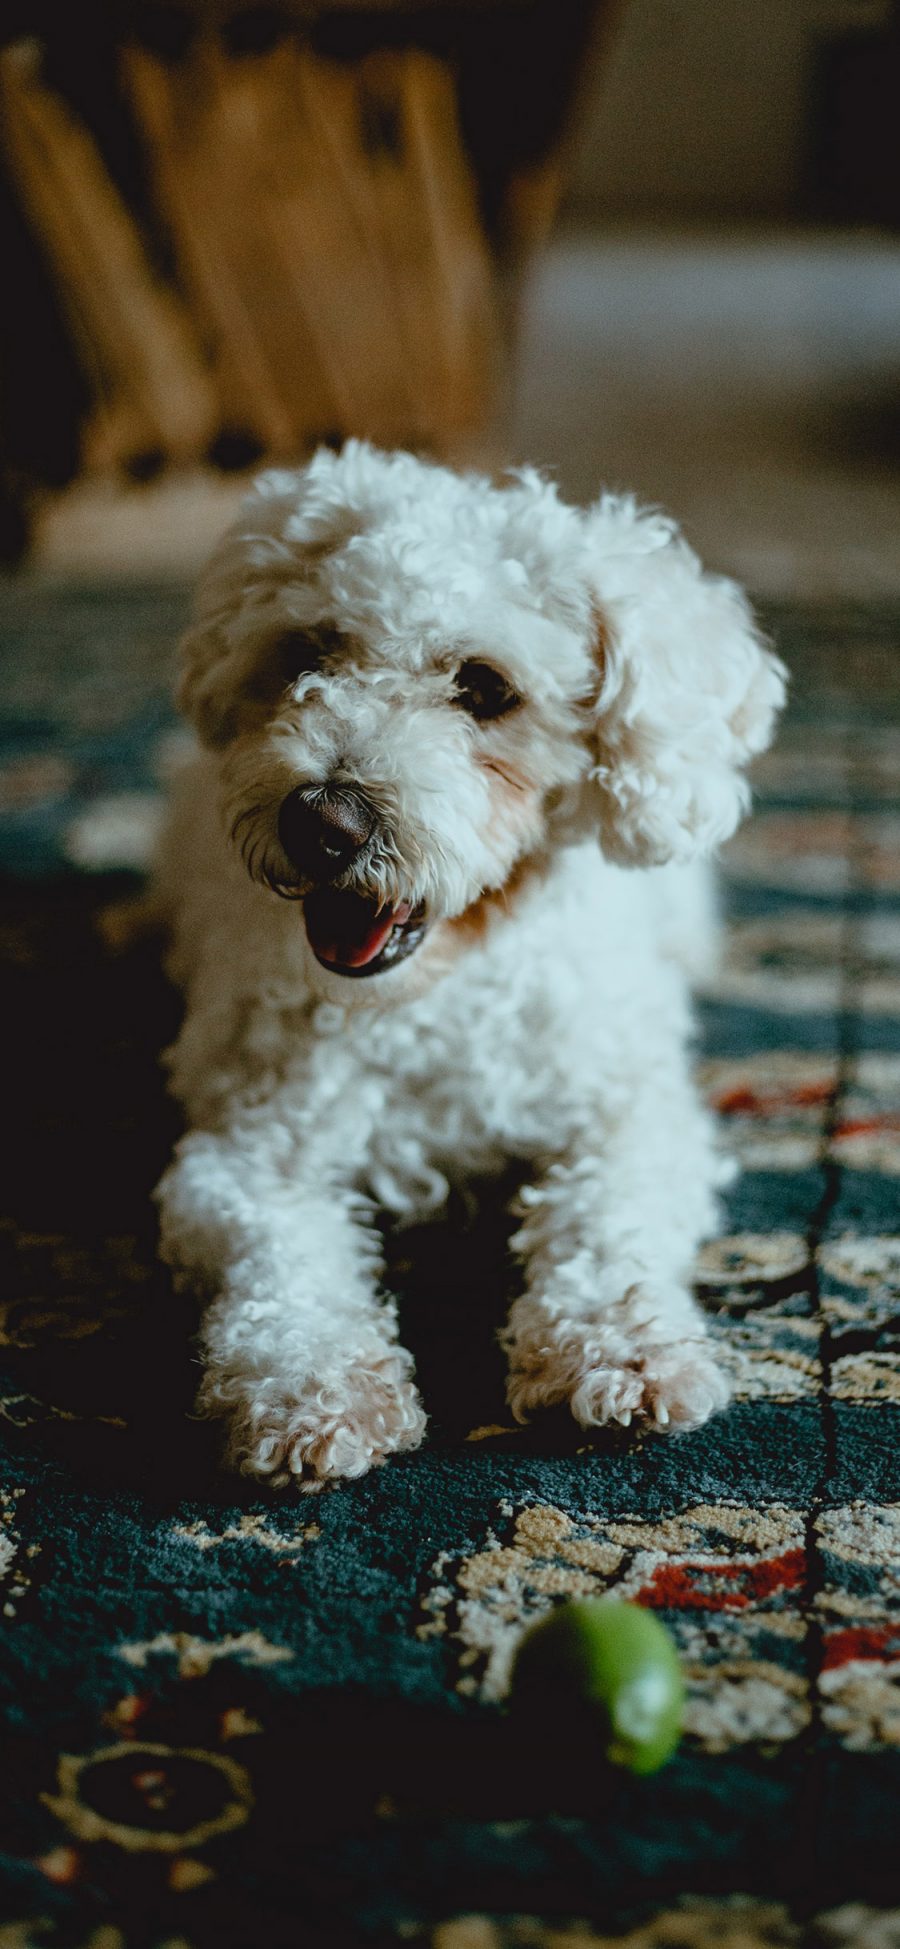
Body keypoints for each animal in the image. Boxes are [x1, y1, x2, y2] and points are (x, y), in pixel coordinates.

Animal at [150, 442, 783, 1481]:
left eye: (485, 688)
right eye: (309, 652)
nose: (323, 820)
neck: (432, 998)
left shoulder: (627, 1113)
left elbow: (604, 1225)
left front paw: (622, 1350)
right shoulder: (247, 1159)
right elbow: (284, 1270)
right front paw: (317, 1389)